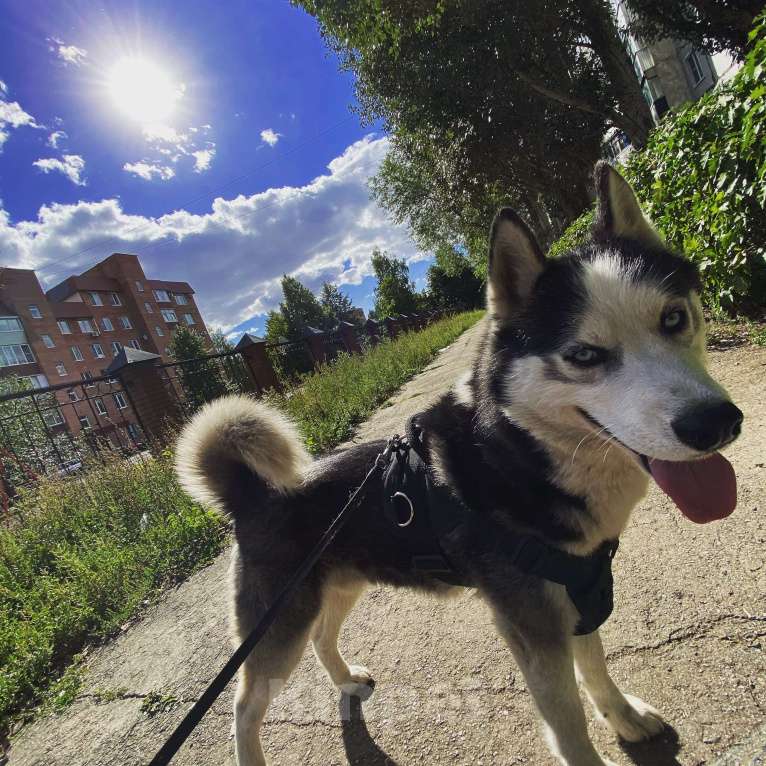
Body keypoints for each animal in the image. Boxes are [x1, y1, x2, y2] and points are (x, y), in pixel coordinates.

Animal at [176, 164, 744, 766]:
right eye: (584, 355)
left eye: (674, 318)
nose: (714, 424)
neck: (519, 452)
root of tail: (253, 494)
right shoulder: (532, 621)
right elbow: (567, 724)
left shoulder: (580, 589)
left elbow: (596, 668)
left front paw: (624, 718)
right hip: (277, 624)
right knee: (244, 706)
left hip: (337, 587)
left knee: (322, 636)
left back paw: (346, 679)